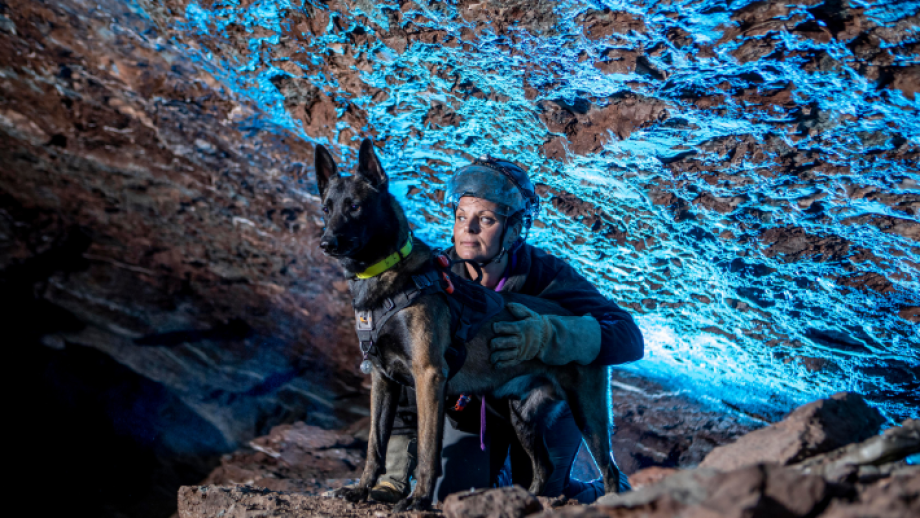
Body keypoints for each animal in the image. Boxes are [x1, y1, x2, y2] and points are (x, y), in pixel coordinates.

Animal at [312, 138, 620, 512]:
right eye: (327, 208)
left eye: (355, 207)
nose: (326, 243)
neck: (387, 276)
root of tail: (580, 316)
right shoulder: (383, 380)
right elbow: (375, 444)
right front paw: (361, 490)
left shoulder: (429, 376)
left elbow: (428, 449)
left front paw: (419, 499)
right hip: (523, 417)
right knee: (545, 466)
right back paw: (526, 500)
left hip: (588, 413)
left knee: (609, 470)